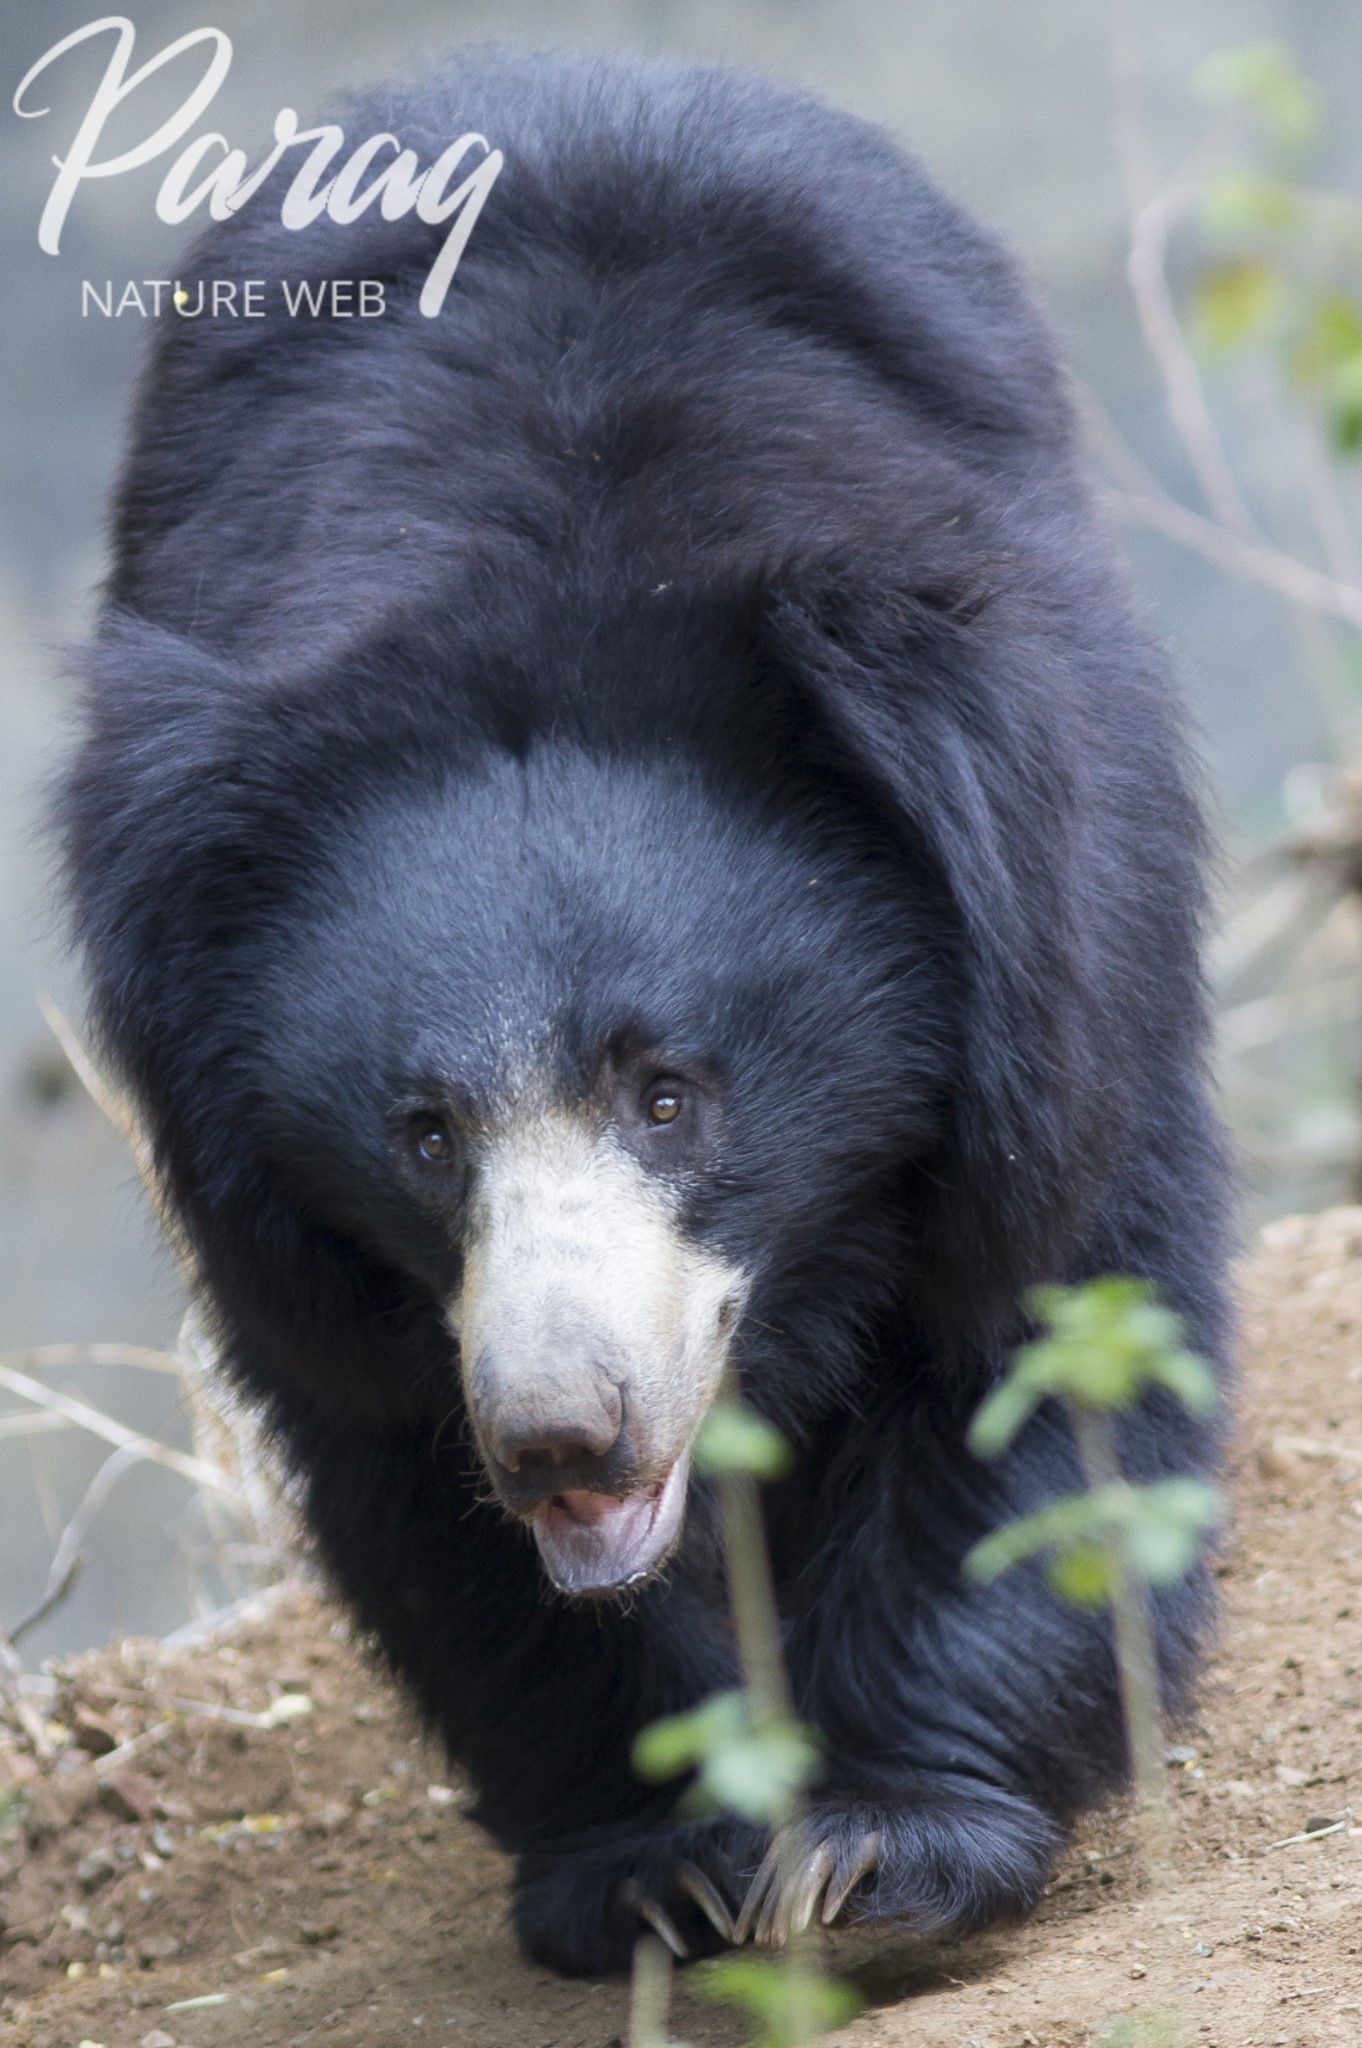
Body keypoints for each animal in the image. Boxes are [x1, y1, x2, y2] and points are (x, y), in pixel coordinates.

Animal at [61, 44, 1228, 1966]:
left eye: (668, 1092)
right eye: (425, 1133)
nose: (560, 1436)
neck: (554, 594)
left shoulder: (1049, 910)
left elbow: (1039, 1315)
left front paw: (874, 1848)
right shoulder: (277, 1195)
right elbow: (401, 1456)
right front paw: (662, 1858)